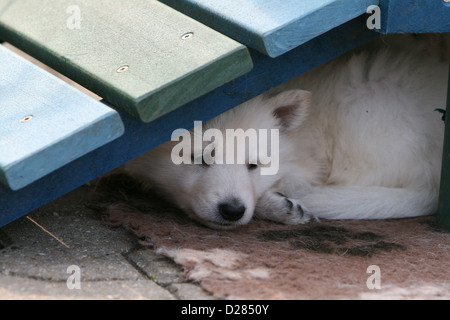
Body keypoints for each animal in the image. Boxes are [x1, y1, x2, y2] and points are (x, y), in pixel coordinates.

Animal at [125, 36, 448, 229]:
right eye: (199, 159)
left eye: (253, 165)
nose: (232, 210)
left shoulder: (307, 166)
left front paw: (279, 204)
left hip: (363, 105)